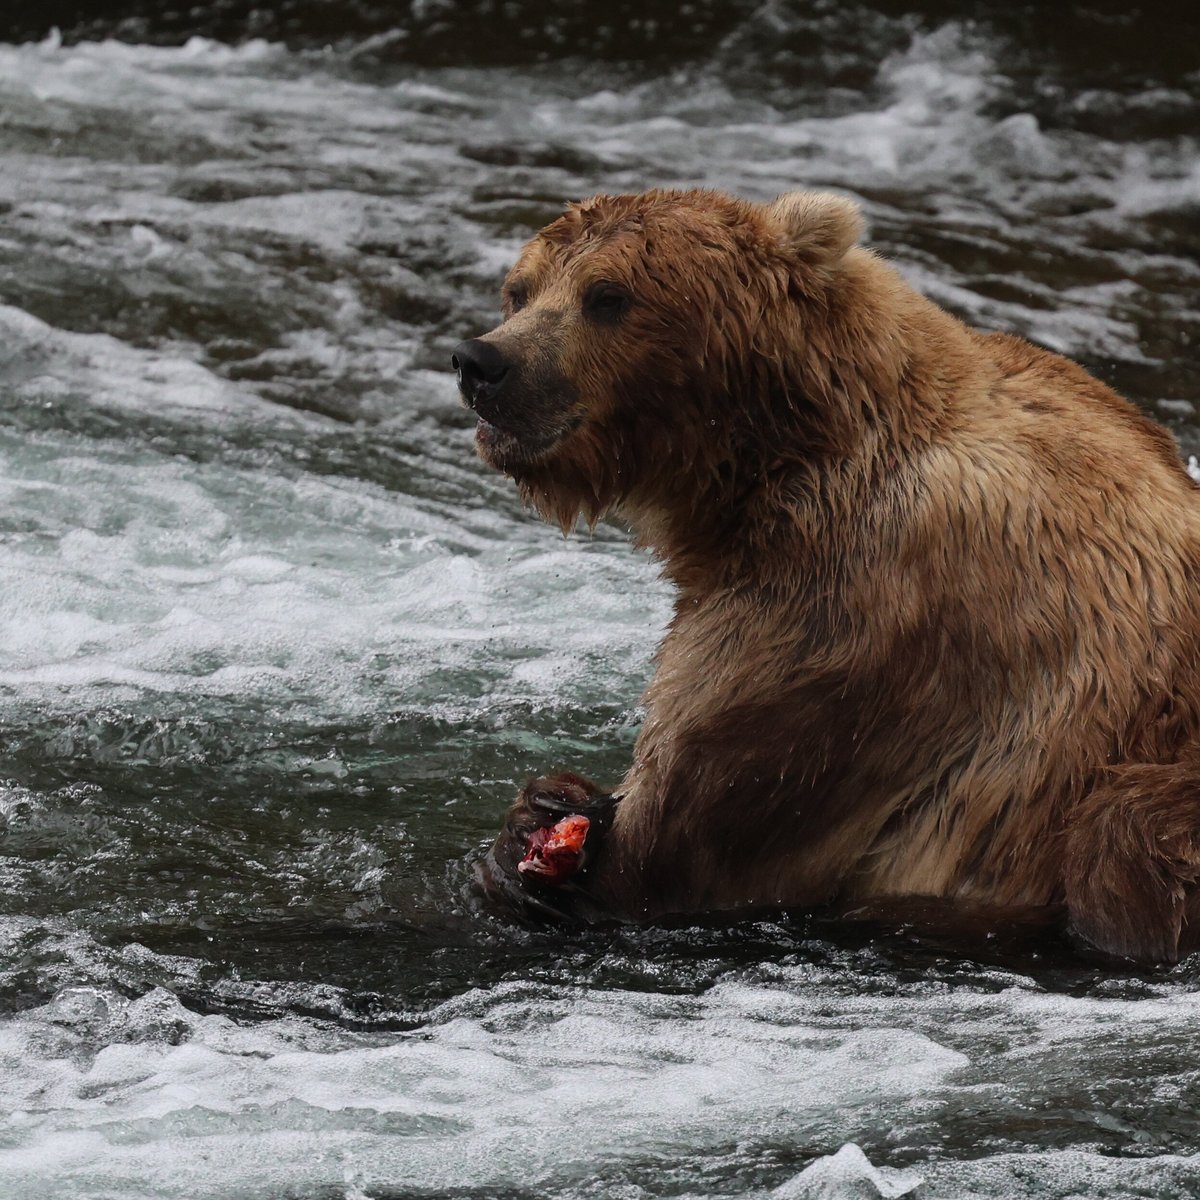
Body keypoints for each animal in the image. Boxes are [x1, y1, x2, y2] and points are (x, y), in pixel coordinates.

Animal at [451, 187, 1200, 960]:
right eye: (521, 288)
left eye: (607, 295)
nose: (483, 360)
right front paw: (540, 812)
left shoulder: (844, 617)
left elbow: (678, 844)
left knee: (1122, 838)